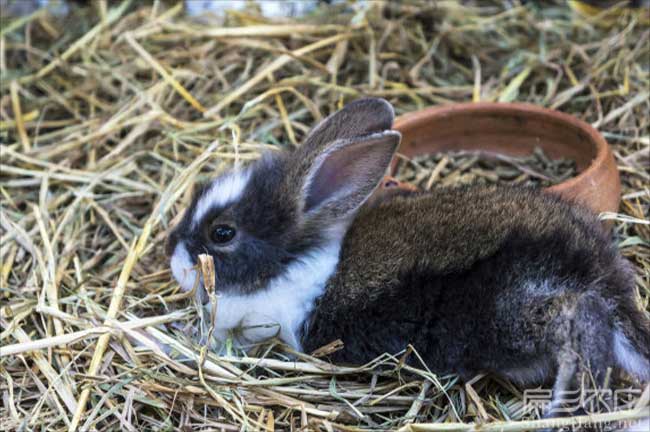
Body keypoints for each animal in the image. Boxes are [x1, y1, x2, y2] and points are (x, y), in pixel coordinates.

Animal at [167, 98, 648, 422]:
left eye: (222, 233)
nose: (173, 259)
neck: (293, 263)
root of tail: (596, 263)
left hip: (519, 311)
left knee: (583, 320)